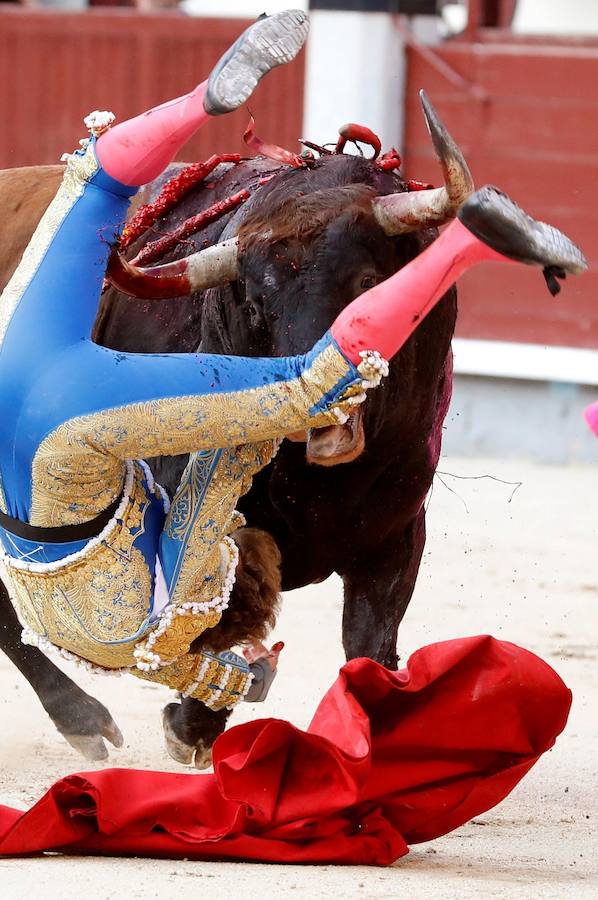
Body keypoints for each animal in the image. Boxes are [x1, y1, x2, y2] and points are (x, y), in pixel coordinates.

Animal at [0, 95, 468, 764]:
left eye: (367, 283)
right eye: (253, 302)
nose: (321, 415)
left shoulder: (396, 534)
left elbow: (370, 649)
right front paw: (192, 726)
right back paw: (83, 718)